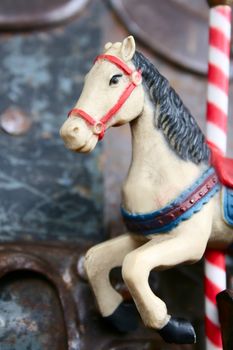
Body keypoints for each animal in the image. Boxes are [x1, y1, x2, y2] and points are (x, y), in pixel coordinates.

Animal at [60, 36, 233, 344]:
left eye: (114, 79)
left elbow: (133, 266)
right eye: (87, 78)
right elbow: (95, 259)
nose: (71, 133)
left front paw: (174, 326)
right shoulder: (143, 237)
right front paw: (119, 315)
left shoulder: (189, 243)